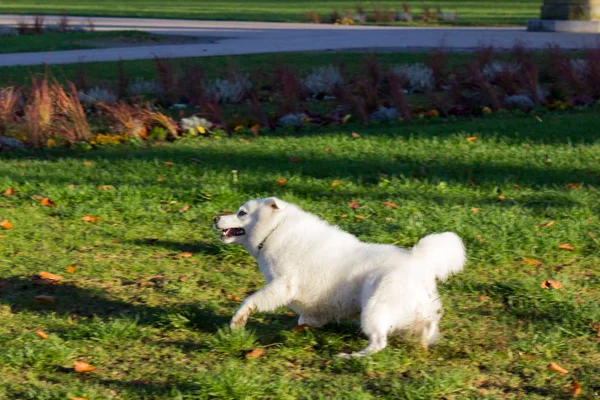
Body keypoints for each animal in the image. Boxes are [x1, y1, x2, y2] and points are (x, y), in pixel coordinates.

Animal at [213, 197, 466, 356]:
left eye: (241, 213)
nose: (215, 218)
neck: (274, 231)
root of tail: (419, 260)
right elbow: (305, 320)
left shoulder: (283, 285)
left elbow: (250, 300)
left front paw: (237, 322)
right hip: (417, 313)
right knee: (425, 329)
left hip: (374, 308)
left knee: (379, 343)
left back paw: (351, 356)